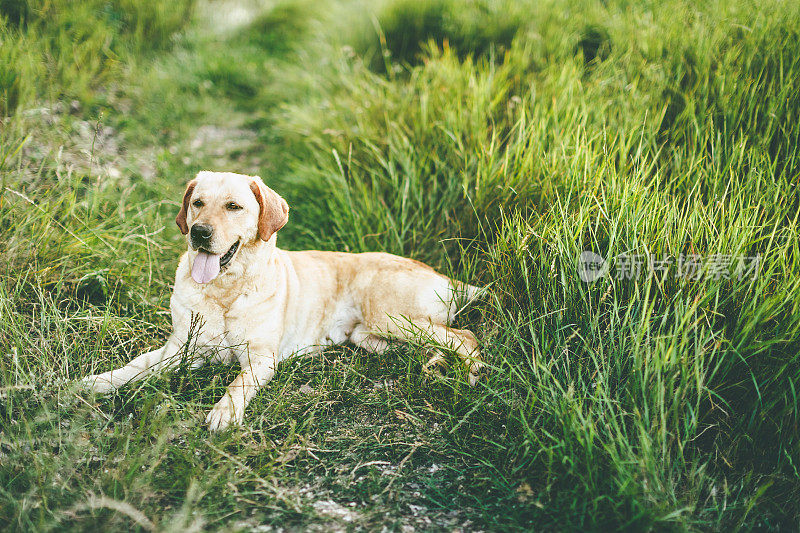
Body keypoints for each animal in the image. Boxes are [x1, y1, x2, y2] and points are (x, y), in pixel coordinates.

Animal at [79, 172, 482, 430]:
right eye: (197, 203)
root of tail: (447, 278)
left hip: (390, 316)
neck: (225, 290)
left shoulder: (259, 358)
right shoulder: (181, 348)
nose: (199, 232)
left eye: (233, 207)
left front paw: (225, 413)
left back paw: (472, 374)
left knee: (466, 338)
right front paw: (98, 382)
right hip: (368, 334)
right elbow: (136, 366)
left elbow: (237, 384)